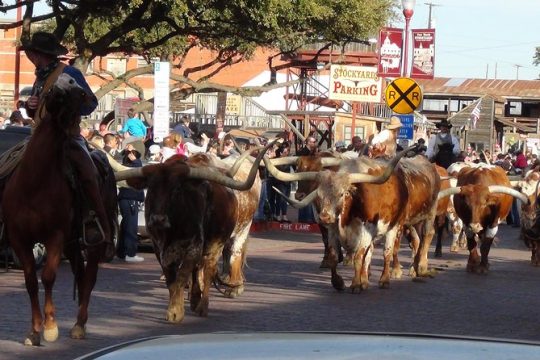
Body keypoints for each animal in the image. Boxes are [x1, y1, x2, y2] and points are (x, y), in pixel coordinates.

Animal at [2, 73, 116, 346]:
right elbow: (31, 281)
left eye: (79, 90)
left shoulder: (55, 236)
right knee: (80, 274)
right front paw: (34, 330)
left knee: (90, 277)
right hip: (73, 244)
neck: (34, 184)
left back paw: (79, 324)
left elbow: (48, 276)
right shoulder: (19, 239)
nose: (58, 88)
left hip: (91, 242)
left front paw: (51, 326)